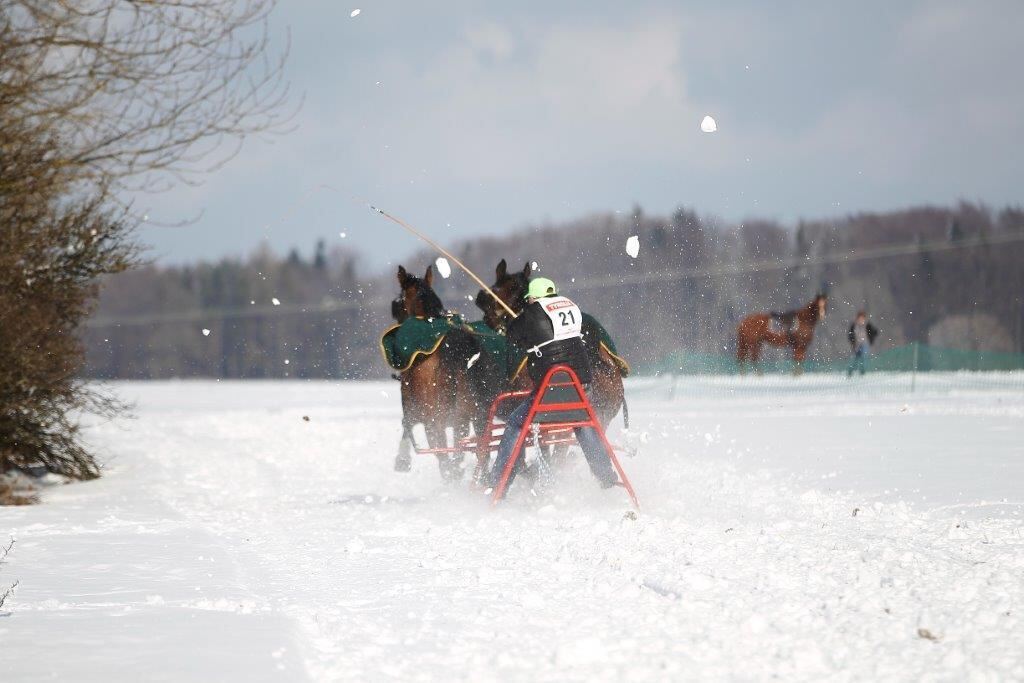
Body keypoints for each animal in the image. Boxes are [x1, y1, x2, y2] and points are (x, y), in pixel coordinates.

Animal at [393, 264, 501, 483]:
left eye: (398, 304)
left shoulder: (418, 410)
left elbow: (407, 424)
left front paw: (402, 459)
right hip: (476, 416)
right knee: (477, 453)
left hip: (441, 419)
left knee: (447, 459)